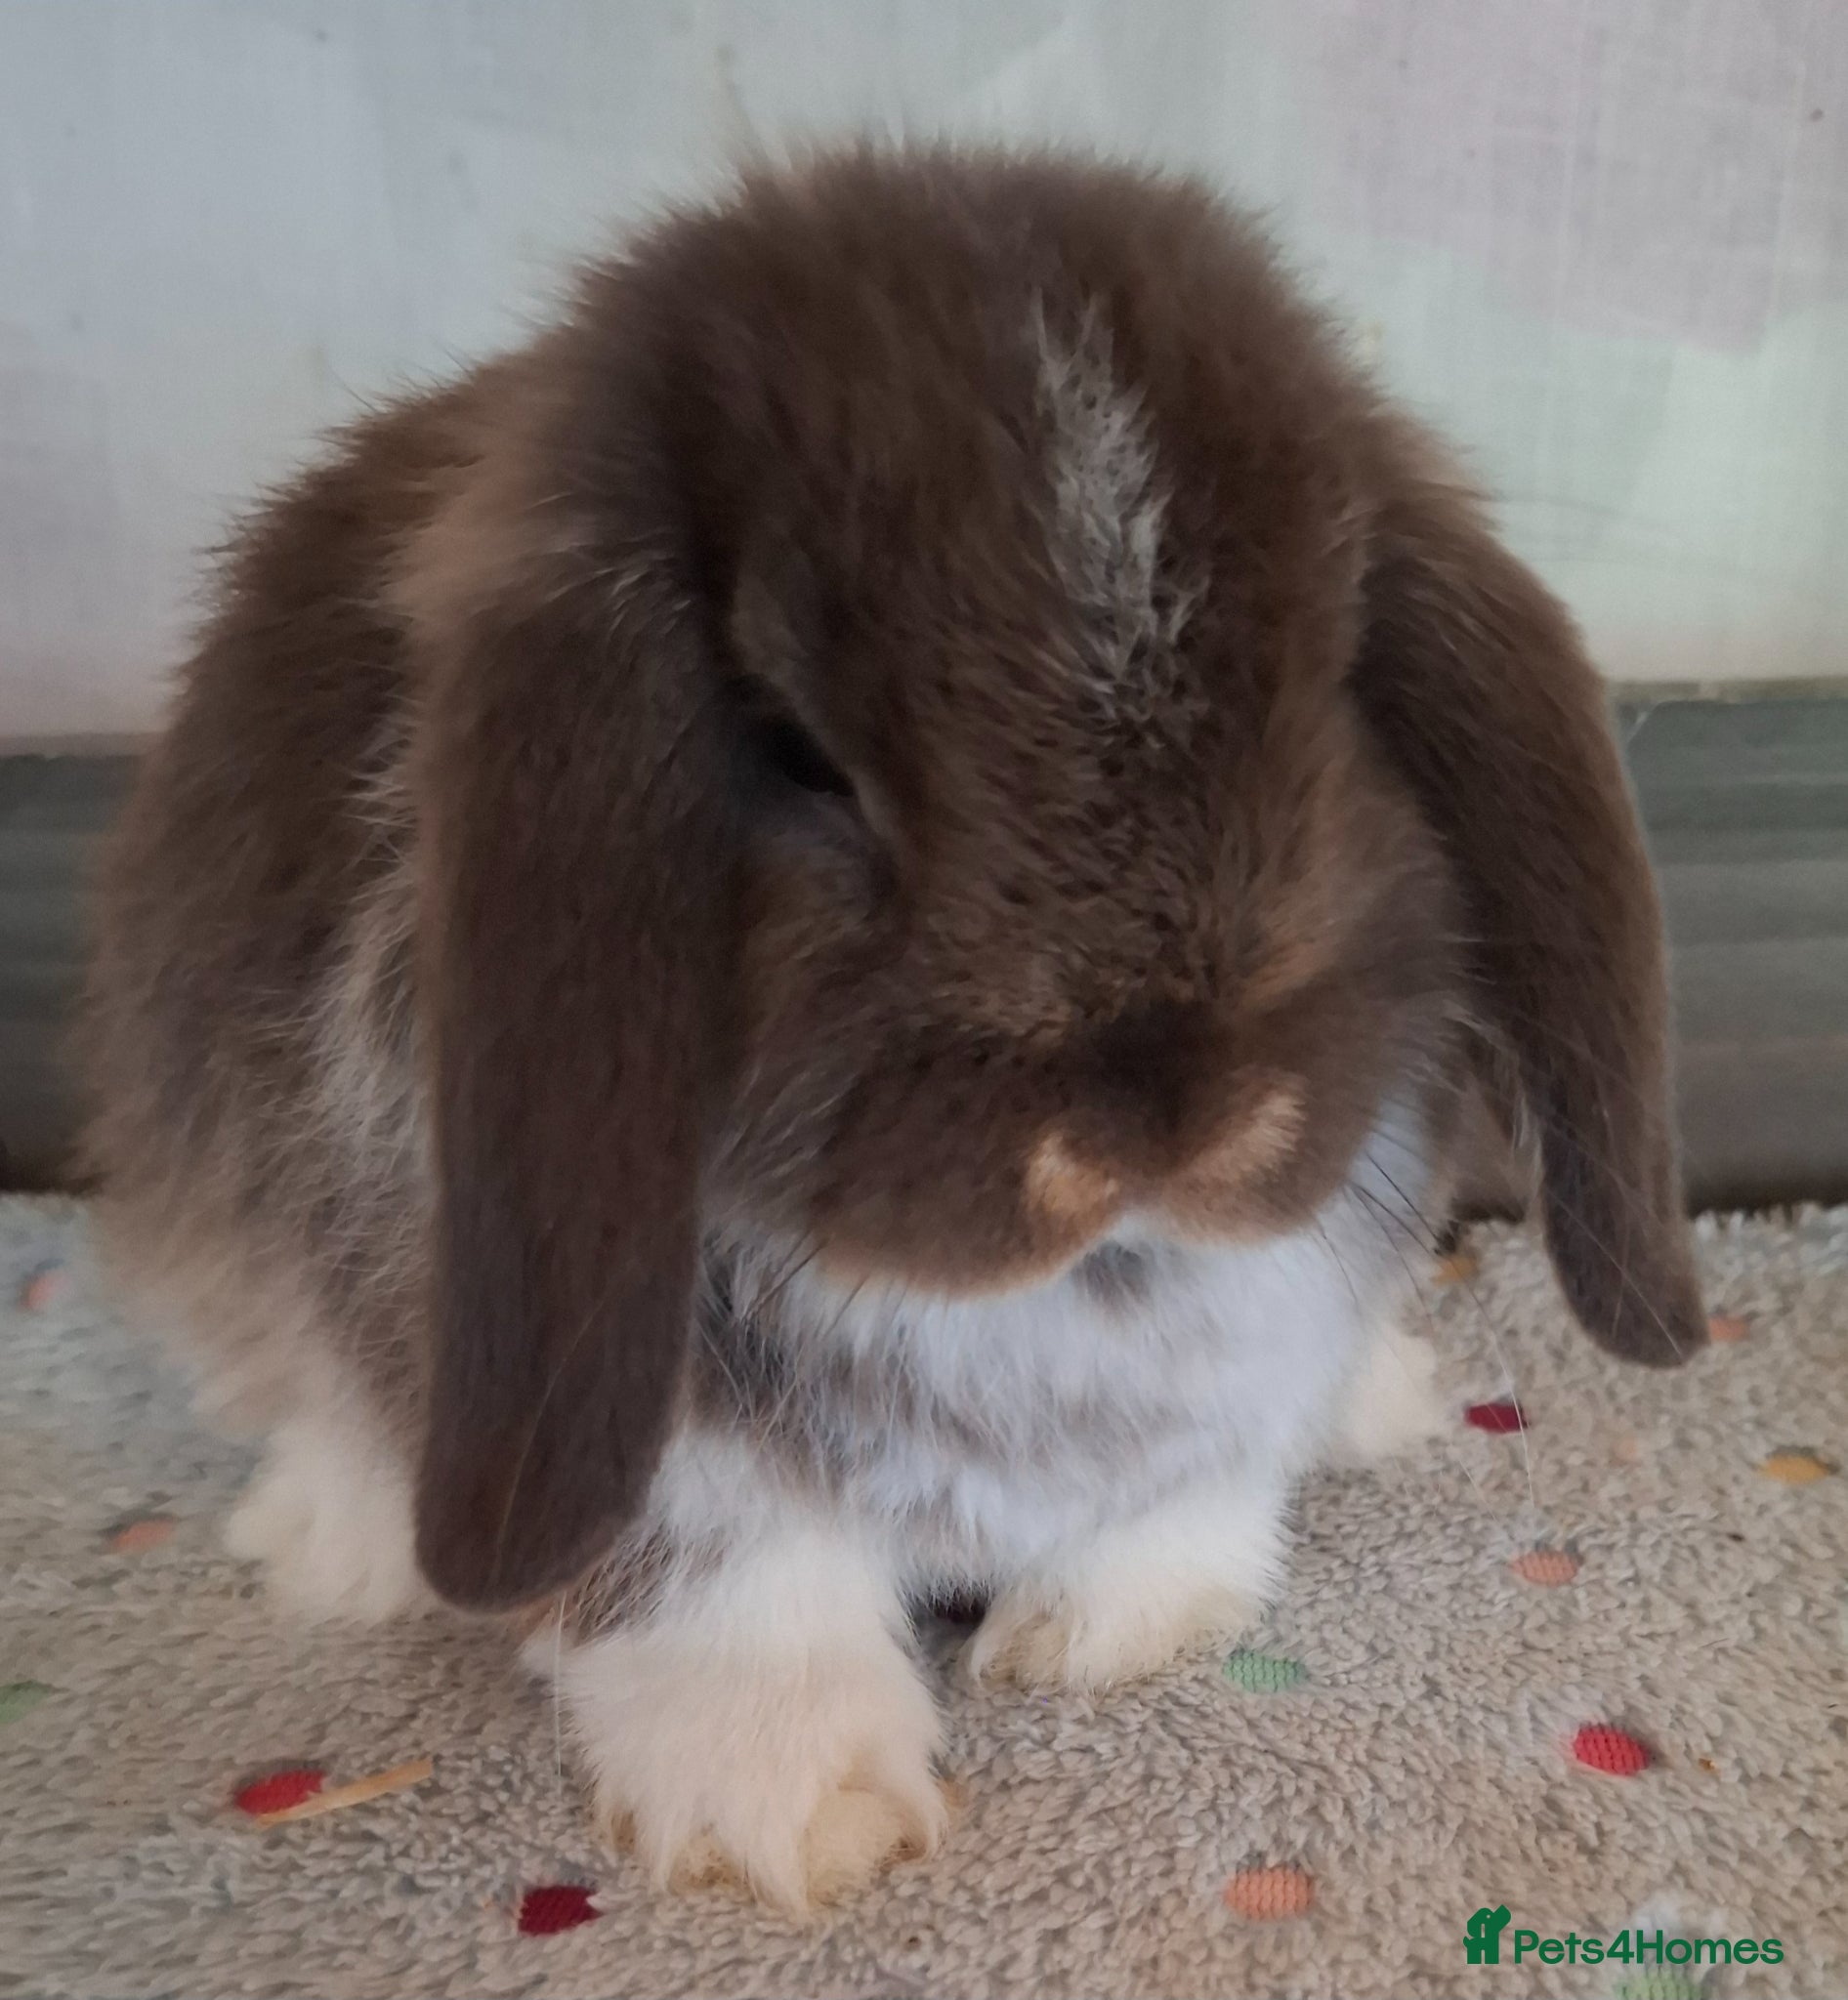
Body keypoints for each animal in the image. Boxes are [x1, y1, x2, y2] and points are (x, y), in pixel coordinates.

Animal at [82, 145, 1705, 1914]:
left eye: (1342, 673)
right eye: (798, 752)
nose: (1168, 1124)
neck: (1077, 1290)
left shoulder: (1232, 1377)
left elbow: (1183, 1503)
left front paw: (1109, 1637)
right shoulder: (621, 1421)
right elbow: (724, 1584)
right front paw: (799, 1812)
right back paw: (341, 1542)